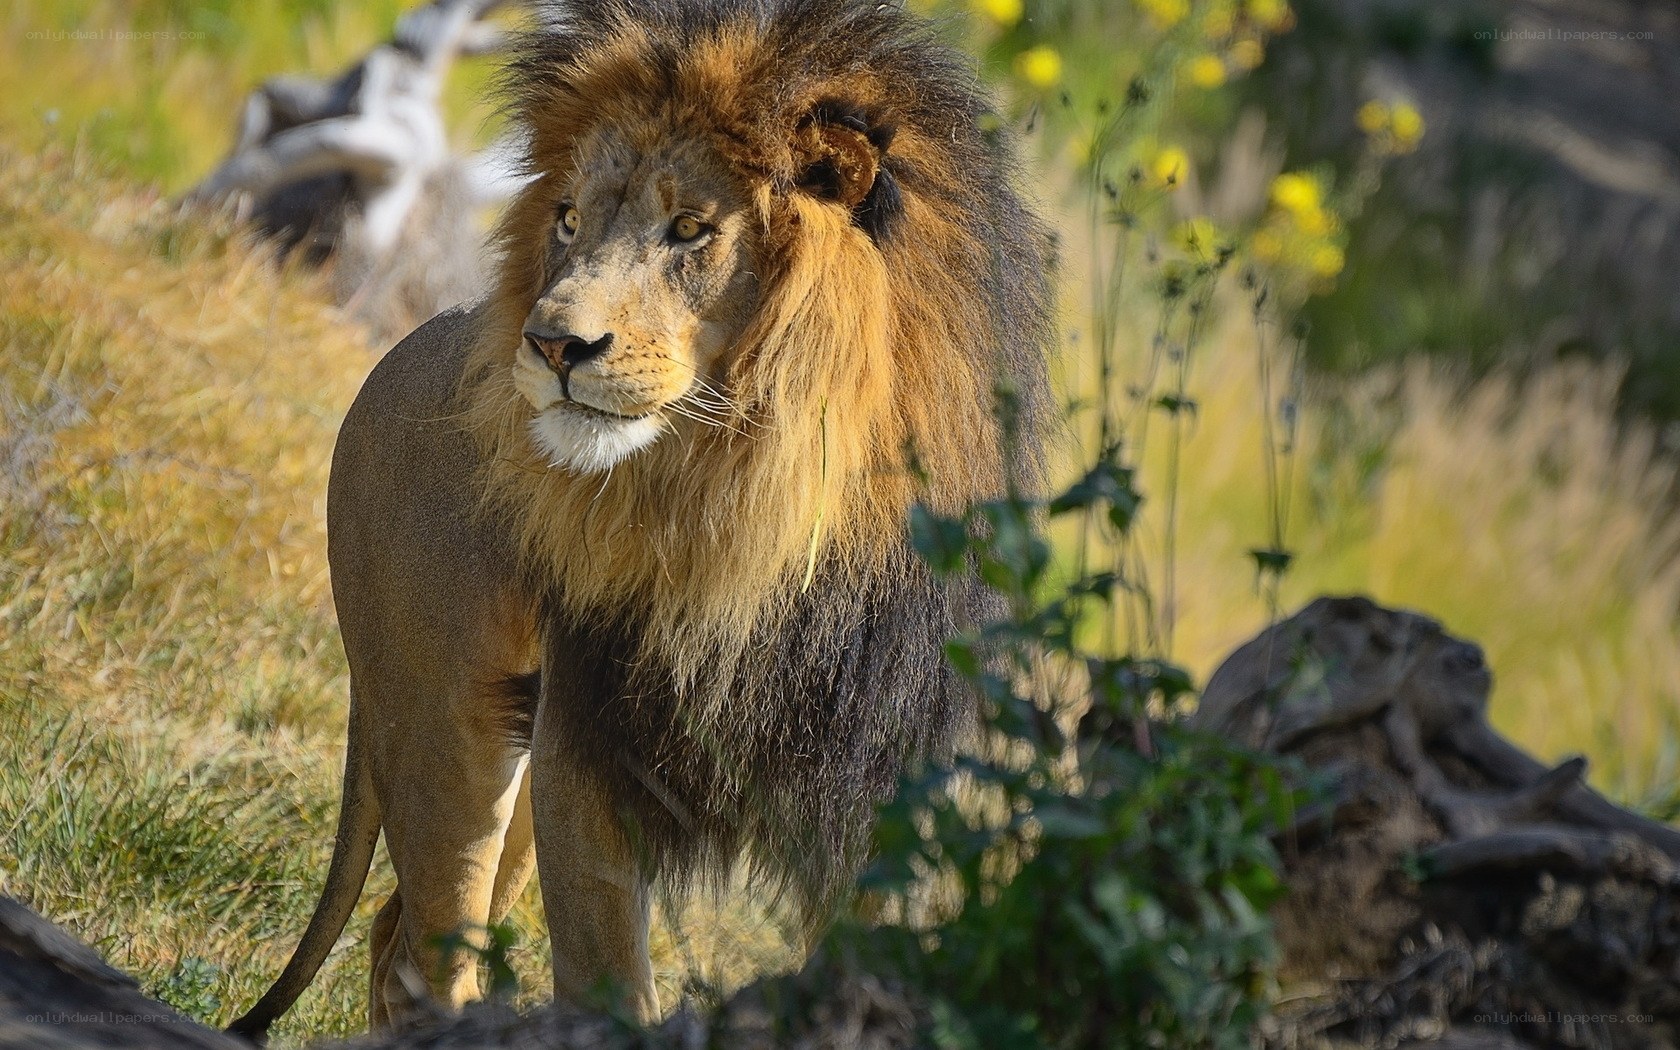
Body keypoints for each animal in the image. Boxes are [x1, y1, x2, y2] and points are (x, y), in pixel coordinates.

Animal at [227, 0, 1053, 1038]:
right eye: (570, 219)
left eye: (690, 229)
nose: (552, 344)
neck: (747, 519)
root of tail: (399, 350)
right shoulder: (589, 751)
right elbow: (610, 981)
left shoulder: (875, 789)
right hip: (445, 725)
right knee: (430, 953)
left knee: (390, 935)